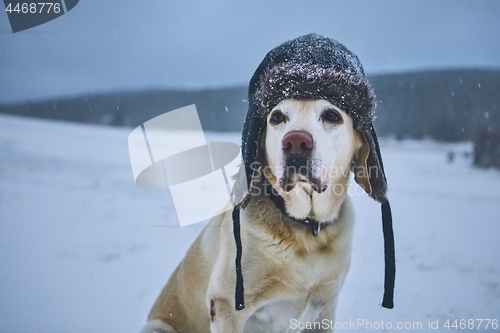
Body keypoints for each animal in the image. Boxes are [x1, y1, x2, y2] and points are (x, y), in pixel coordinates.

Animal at [139, 33, 392, 332]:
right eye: (277, 117)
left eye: (332, 115)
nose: (296, 142)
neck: (306, 230)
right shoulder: (227, 307)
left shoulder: (325, 310)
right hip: (157, 326)